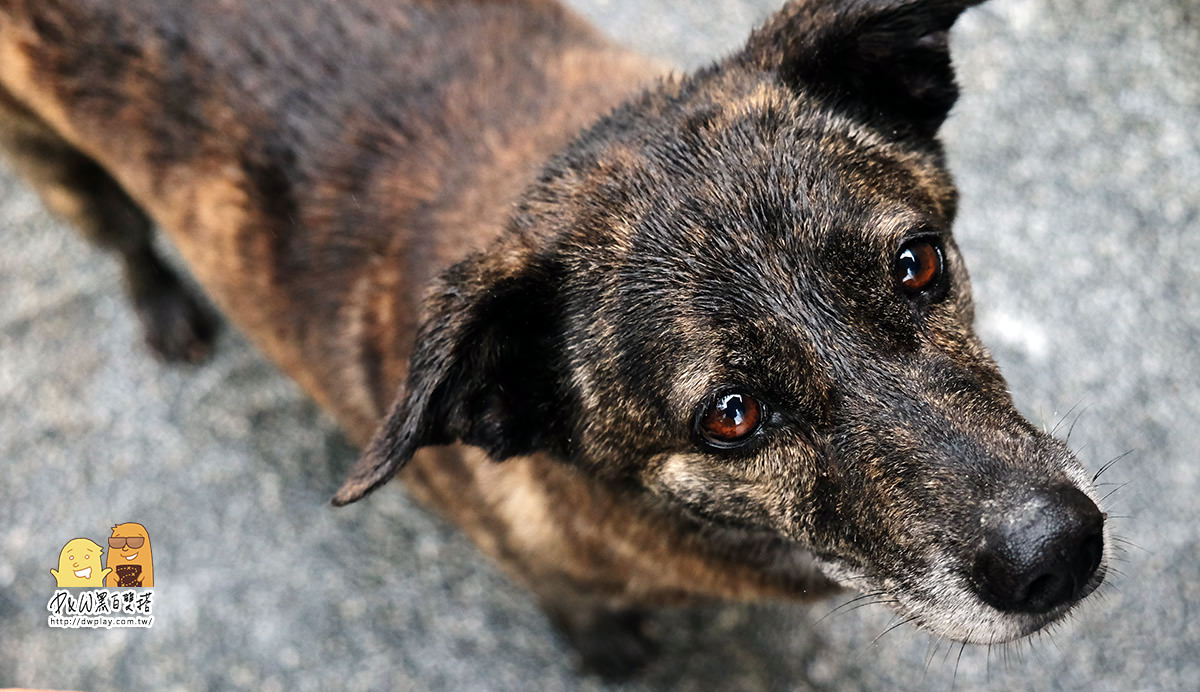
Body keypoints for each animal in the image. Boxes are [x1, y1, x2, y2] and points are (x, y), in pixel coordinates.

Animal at [0, 0, 1104, 676]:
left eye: (918, 262)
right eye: (732, 416)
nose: (1058, 552)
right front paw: (617, 654)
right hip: (55, 162)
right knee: (123, 238)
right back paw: (165, 310)